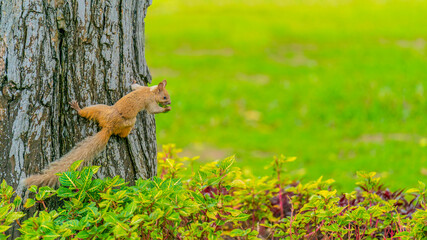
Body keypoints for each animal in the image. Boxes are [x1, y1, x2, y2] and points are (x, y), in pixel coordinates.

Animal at [24, 80, 171, 188]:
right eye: (164, 97)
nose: (169, 102)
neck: (150, 91)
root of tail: (109, 126)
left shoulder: (142, 88)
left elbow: (134, 86)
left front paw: (134, 81)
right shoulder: (150, 101)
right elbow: (153, 110)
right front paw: (166, 109)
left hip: (100, 109)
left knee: (87, 112)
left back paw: (78, 109)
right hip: (128, 121)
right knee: (122, 134)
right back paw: (130, 132)